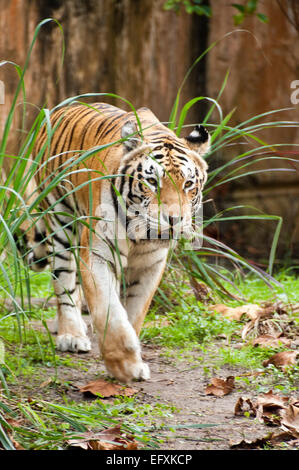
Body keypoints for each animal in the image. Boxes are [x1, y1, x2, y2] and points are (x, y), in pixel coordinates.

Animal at [28, 103, 211, 382]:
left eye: (188, 184)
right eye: (152, 181)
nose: (174, 220)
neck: (142, 235)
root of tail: (63, 108)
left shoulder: (151, 264)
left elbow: (134, 313)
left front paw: (131, 359)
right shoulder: (98, 254)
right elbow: (110, 312)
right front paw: (125, 366)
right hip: (61, 221)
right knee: (64, 282)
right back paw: (71, 334)